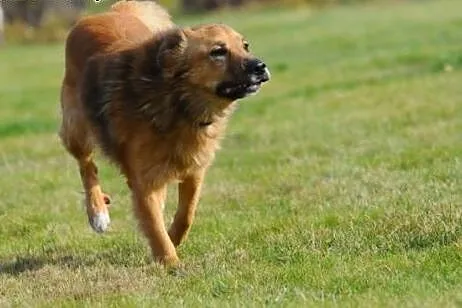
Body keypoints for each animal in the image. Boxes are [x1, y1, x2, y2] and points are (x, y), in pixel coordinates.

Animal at [58, 0, 270, 266]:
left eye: (245, 45)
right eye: (218, 52)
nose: (260, 66)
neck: (179, 103)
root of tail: (110, 11)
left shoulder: (194, 171)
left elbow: (186, 214)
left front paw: (173, 239)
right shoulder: (145, 181)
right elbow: (155, 226)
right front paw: (171, 263)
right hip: (76, 129)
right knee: (87, 166)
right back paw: (98, 212)